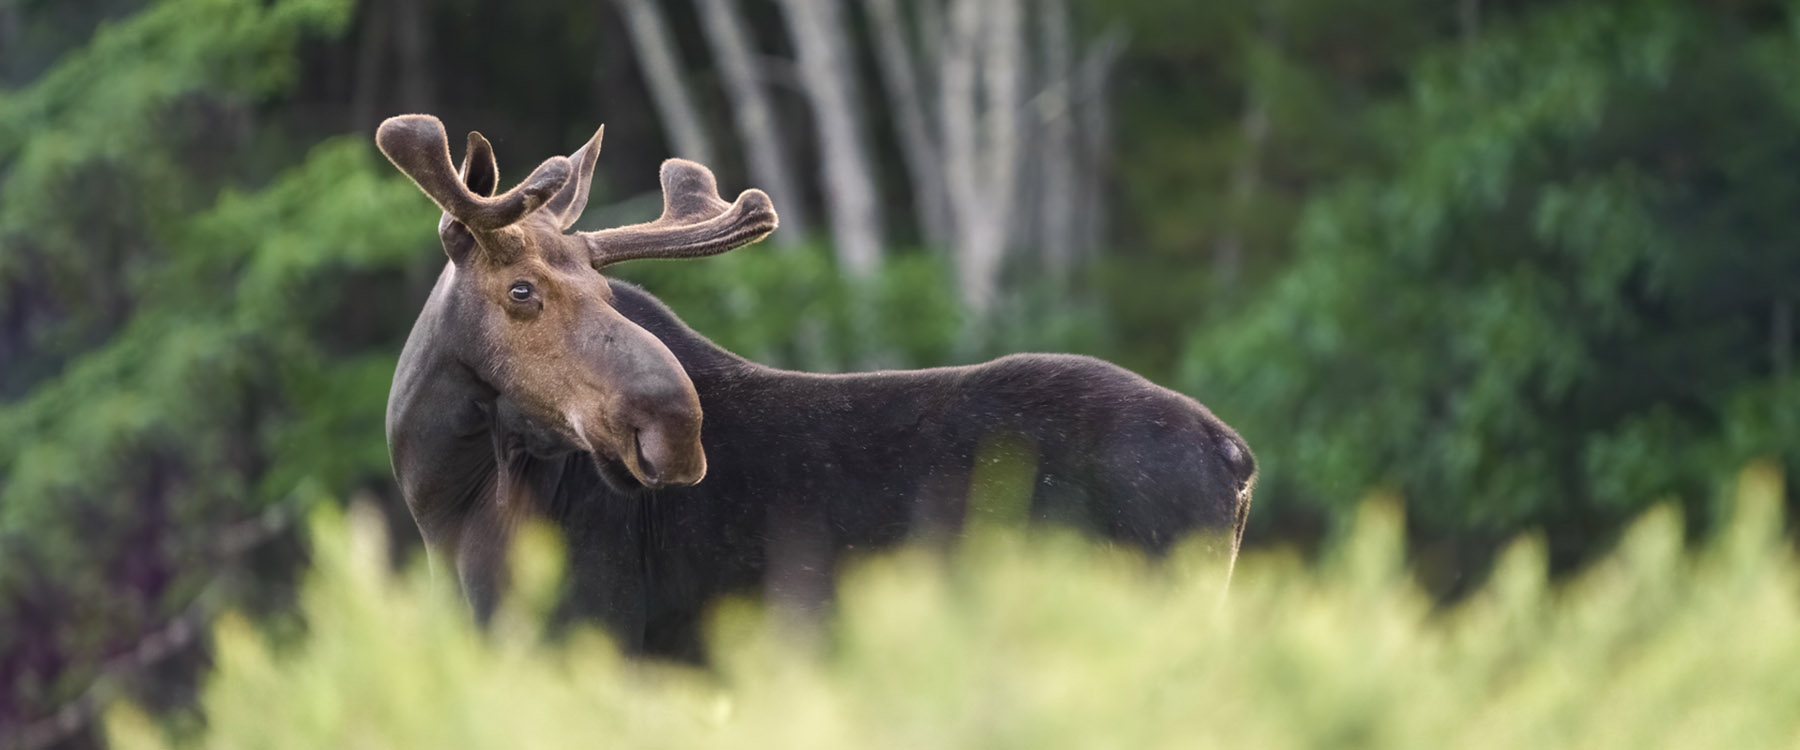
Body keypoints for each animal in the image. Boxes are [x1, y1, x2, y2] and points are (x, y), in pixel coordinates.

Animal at [378, 114, 1256, 660]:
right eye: (522, 290)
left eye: (605, 290)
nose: (676, 427)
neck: (444, 501)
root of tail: (1237, 458)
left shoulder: (597, 634)